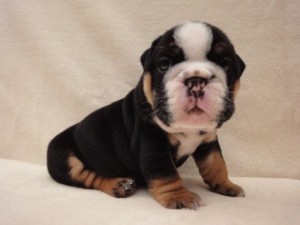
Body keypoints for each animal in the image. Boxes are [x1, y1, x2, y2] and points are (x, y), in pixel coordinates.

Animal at [48, 21, 246, 209]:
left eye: (225, 65)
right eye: (164, 65)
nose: (196, 79)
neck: (189, 128)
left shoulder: (209, 141)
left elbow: (217, 164)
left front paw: (226, 185)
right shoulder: (152, 142)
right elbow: (166, 173)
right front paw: (179, 197)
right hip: (64, 158)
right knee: (89, 176)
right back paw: (118, 184)